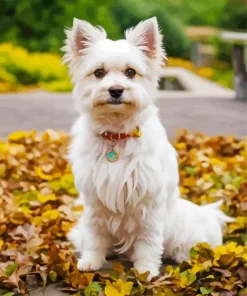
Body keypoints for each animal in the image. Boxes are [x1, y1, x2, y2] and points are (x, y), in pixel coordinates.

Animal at [61, 16, 233, 280]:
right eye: (98, 73)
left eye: (131, 72)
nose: (116, 90)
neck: (117, 134)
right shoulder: (94, 200)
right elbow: (95, 236)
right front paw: (91, 261)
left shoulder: (148, 202)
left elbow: (147, 241)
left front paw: (145, 271)